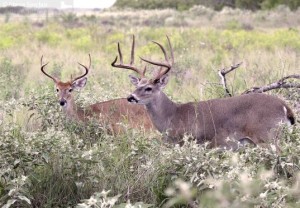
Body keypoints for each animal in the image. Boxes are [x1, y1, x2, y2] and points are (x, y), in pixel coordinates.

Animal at [112, 35, 296, 150]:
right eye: (137, 85)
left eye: (149, 88)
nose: (130, 97)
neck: (172, 115)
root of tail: (285, 106)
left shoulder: (190, 141)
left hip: (267, 136)